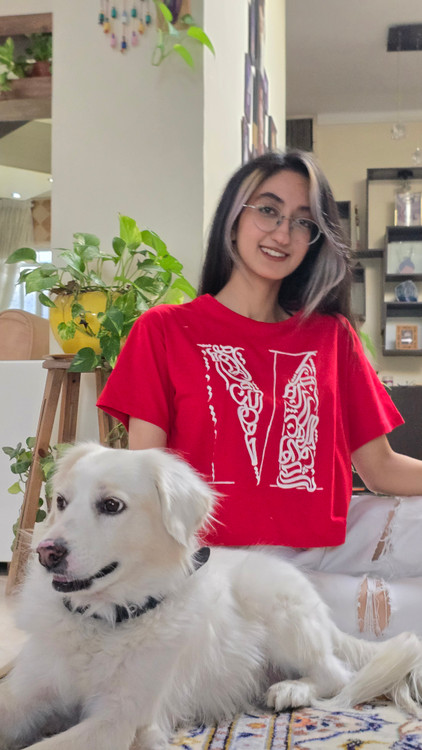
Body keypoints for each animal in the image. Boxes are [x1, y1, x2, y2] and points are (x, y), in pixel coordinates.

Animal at [1, 442, 422, 750]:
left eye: (111, 505)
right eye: (61, 502)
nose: (47, 553)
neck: (101, 620)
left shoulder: (120, 718)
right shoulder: (27, 691)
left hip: (277, 607)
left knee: (335, 673)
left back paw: (289, 690)